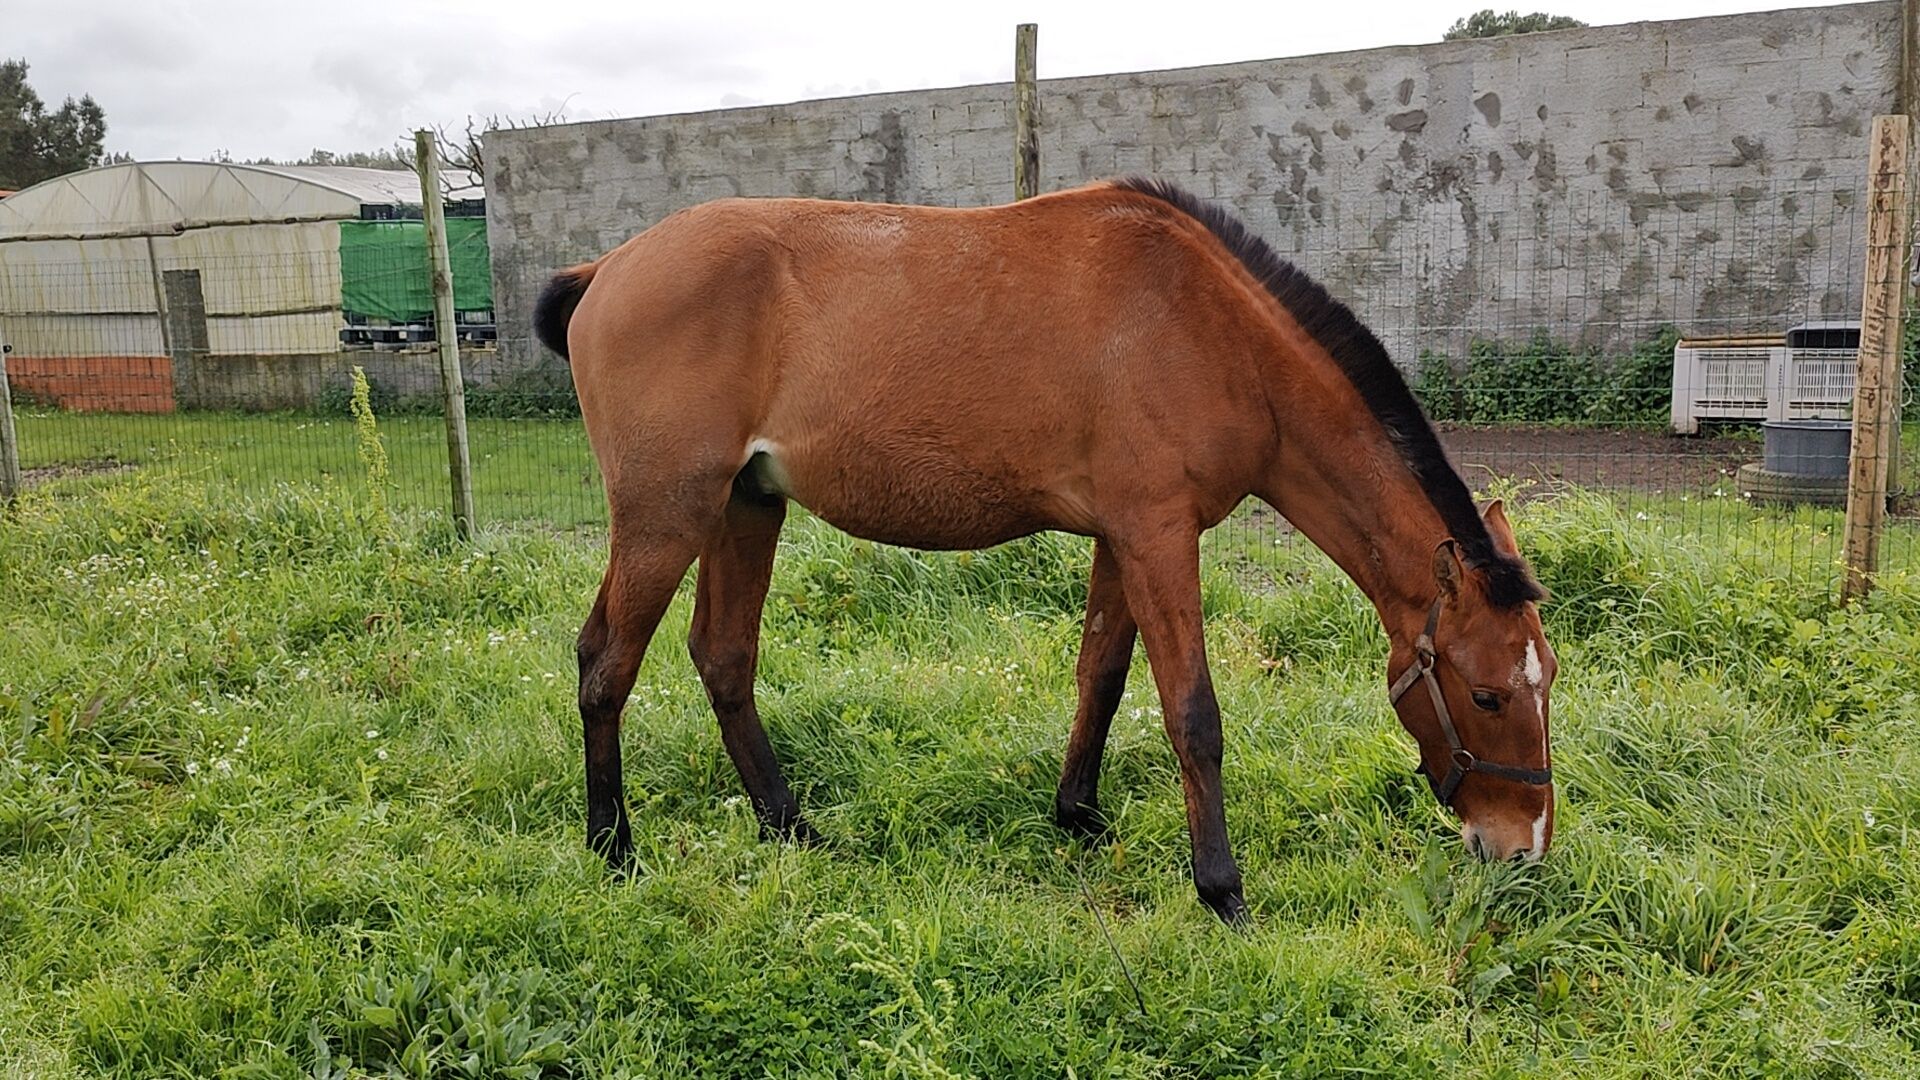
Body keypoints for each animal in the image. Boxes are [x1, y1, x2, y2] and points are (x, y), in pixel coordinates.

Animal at [533, 176, 1551, 914]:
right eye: (1488, 694)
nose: (1524, 851)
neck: (1208, 327)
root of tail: (607, 269)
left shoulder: (1123, 538)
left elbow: (1101, 675)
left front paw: (1077, 815)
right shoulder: (1159, 535)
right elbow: (1193, 713)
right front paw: (1220, 889)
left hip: (746, 508)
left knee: (723, 657)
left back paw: (789, 827)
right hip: (665, 517)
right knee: (606, 663)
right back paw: (613, 847)